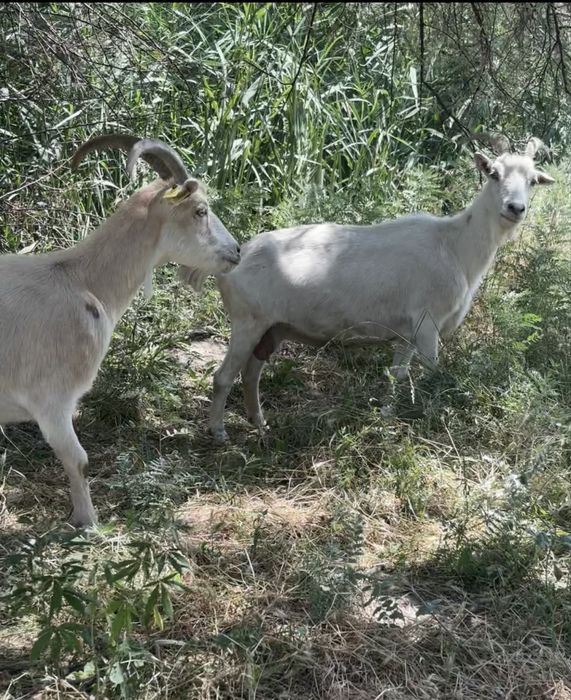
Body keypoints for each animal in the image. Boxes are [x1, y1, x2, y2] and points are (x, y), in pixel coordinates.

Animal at [0, 134, 241, 525]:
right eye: (200, 211)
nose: (236, 250)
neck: (83, 279)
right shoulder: (52, 400)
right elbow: (78, 461)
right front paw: (88, 523)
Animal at [198, 138, 554, 442]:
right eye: (493, 173)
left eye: (533, 180)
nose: (515, 208)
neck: (455, 246)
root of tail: (234, 258)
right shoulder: (428, 322)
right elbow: (432, 373)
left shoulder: (407, 332)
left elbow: (397, 374)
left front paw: (386, 417)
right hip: (246, 321)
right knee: (223, 377)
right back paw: (218, 432)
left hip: (271, 328)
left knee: (251, 374)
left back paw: (260, 424)